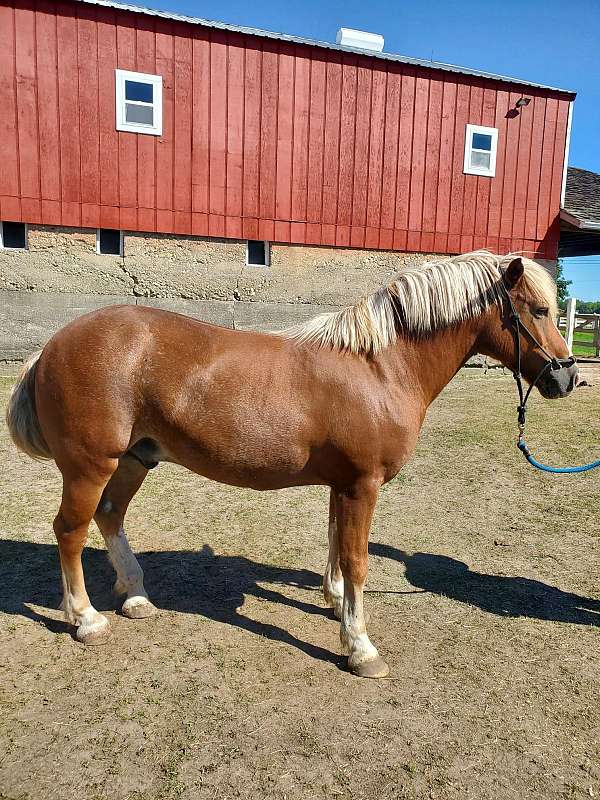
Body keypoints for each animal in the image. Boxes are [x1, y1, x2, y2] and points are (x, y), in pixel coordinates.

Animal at [4, 250, 576, 676]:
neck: (379, 367)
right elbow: (357, 559)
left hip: (134, 460)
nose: (568, 377)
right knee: (71, 530)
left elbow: (336, 545)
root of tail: (51, 346)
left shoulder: (344, 485)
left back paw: (136, 595)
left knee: (109, 518)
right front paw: (360, 646)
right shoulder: (362, 484)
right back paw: (86, 619)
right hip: (90, 466)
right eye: (538, 311)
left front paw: (335, 602)